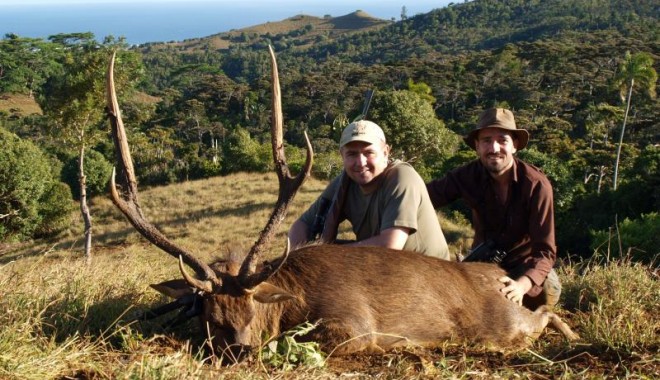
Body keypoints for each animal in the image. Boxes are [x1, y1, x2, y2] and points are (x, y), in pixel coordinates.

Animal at [104, 46, 576, 362]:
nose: (241, 351)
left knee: (545, 317)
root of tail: (502, 276)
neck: (289, 298)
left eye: (252, 309)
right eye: (210, 317)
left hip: (502, 326)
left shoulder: (354, 325)